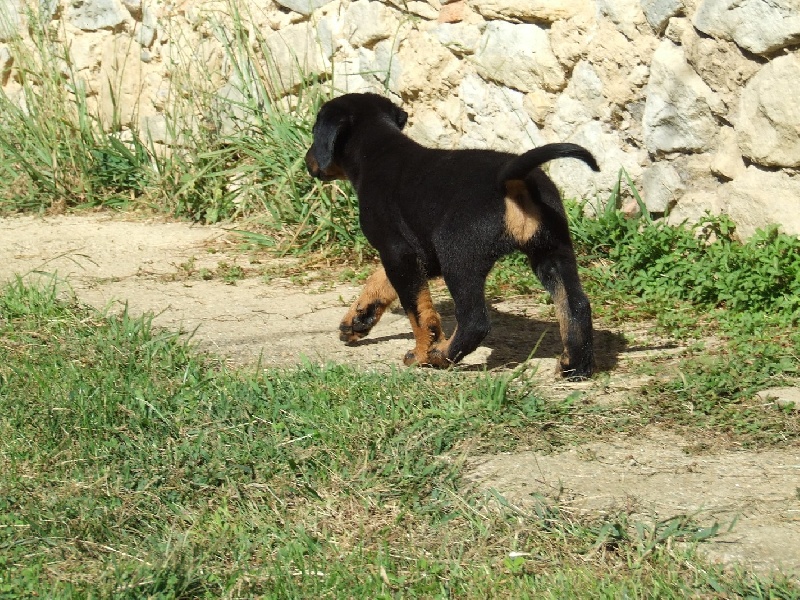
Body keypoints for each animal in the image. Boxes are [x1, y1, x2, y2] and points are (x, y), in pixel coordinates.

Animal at [306, 91, 600, 378]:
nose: (309, 162)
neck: (379, 152)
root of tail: (513, 180)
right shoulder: (419, 254)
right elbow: (380, 280)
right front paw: (357, 319)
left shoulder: (398, 251)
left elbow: (418, 310)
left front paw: (421, 353)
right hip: (552, 250)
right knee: (576, 304)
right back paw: (575, 366)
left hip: (458, 256)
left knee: (474, 321)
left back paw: (441, 355)